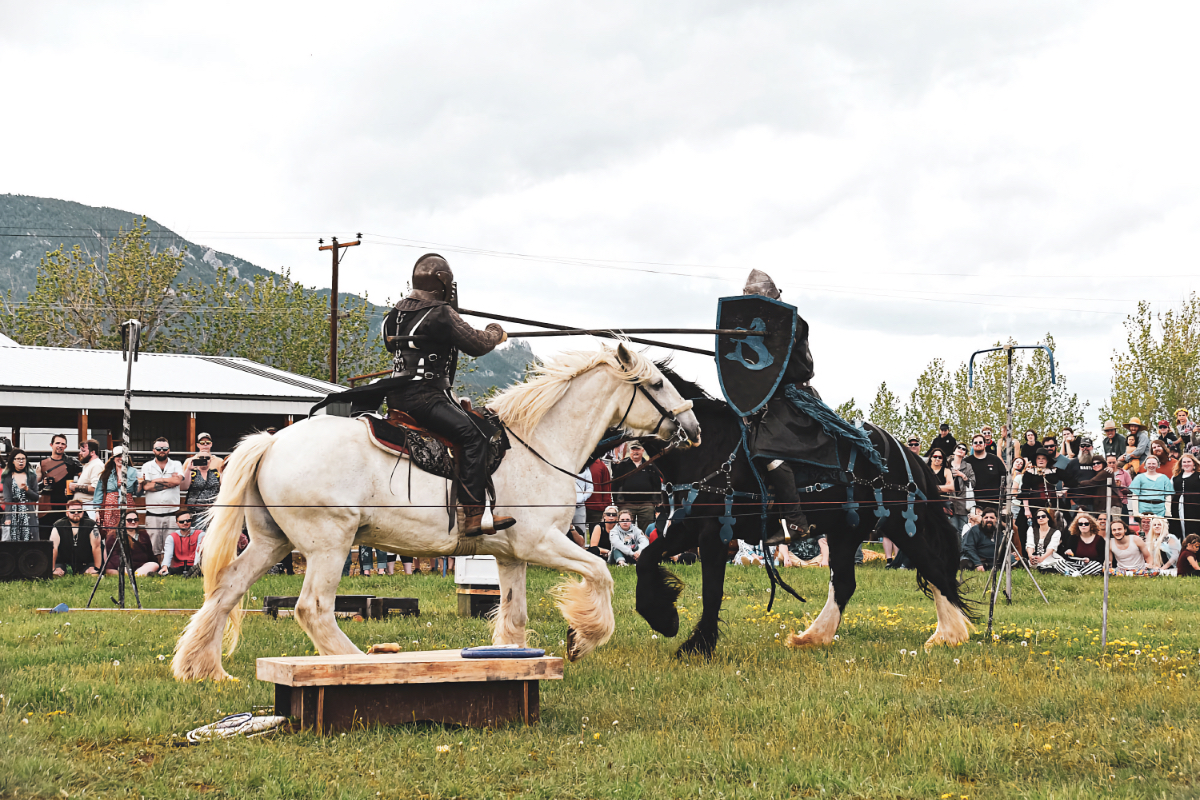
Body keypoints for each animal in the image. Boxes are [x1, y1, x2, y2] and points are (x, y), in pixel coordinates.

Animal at [177, 340, 700, 681]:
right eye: (657, 383)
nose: (693, 427)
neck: (538, 443)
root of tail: (272, 442)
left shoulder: (510, 554)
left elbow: (514, 617)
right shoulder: (541, 542)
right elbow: (601, 573)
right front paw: (584, 636)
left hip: (272, 541)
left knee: (225, 591)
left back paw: (204, 670)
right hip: (329, 544)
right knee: (313, 609)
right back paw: (359, 663)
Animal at [633, 369, 969, 657]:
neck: (707, 446)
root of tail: (905, 454)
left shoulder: (714, 531)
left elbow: (712, 590)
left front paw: (696, 645)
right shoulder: (687, 528)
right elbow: (646, 559)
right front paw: (663, 617)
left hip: (899, 523)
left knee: (934, 568)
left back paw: (949, 635)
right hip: (847, 530)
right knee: (845, 583)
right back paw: (813, 637)